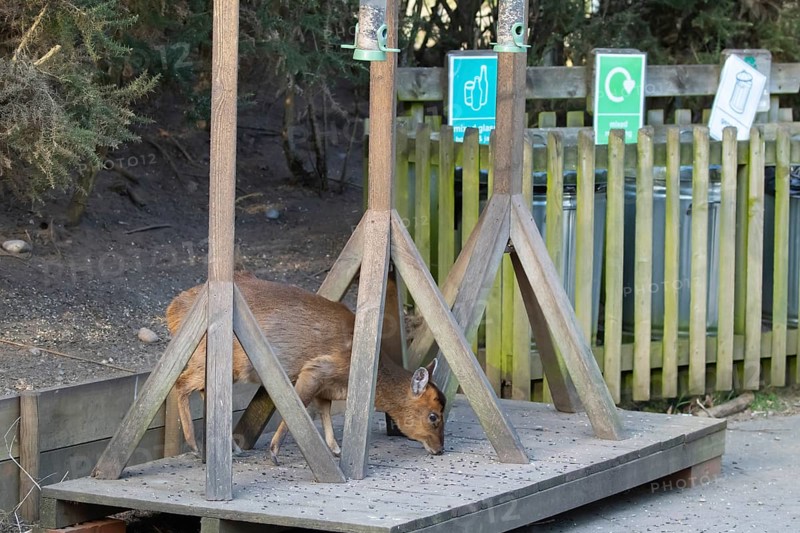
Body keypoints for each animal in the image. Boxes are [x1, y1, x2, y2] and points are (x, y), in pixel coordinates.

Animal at [166, 272, 446, 465]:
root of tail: (171, 311)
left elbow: (325, 414)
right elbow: (299, 406)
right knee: (181, 383)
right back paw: (194, 446)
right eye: (433, 416)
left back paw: (229, 447)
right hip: (213, 357)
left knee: (204, 389)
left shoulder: (326, 389)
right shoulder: (316, 369)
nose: (440, 449)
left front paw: (335, 449)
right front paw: (274, 453)